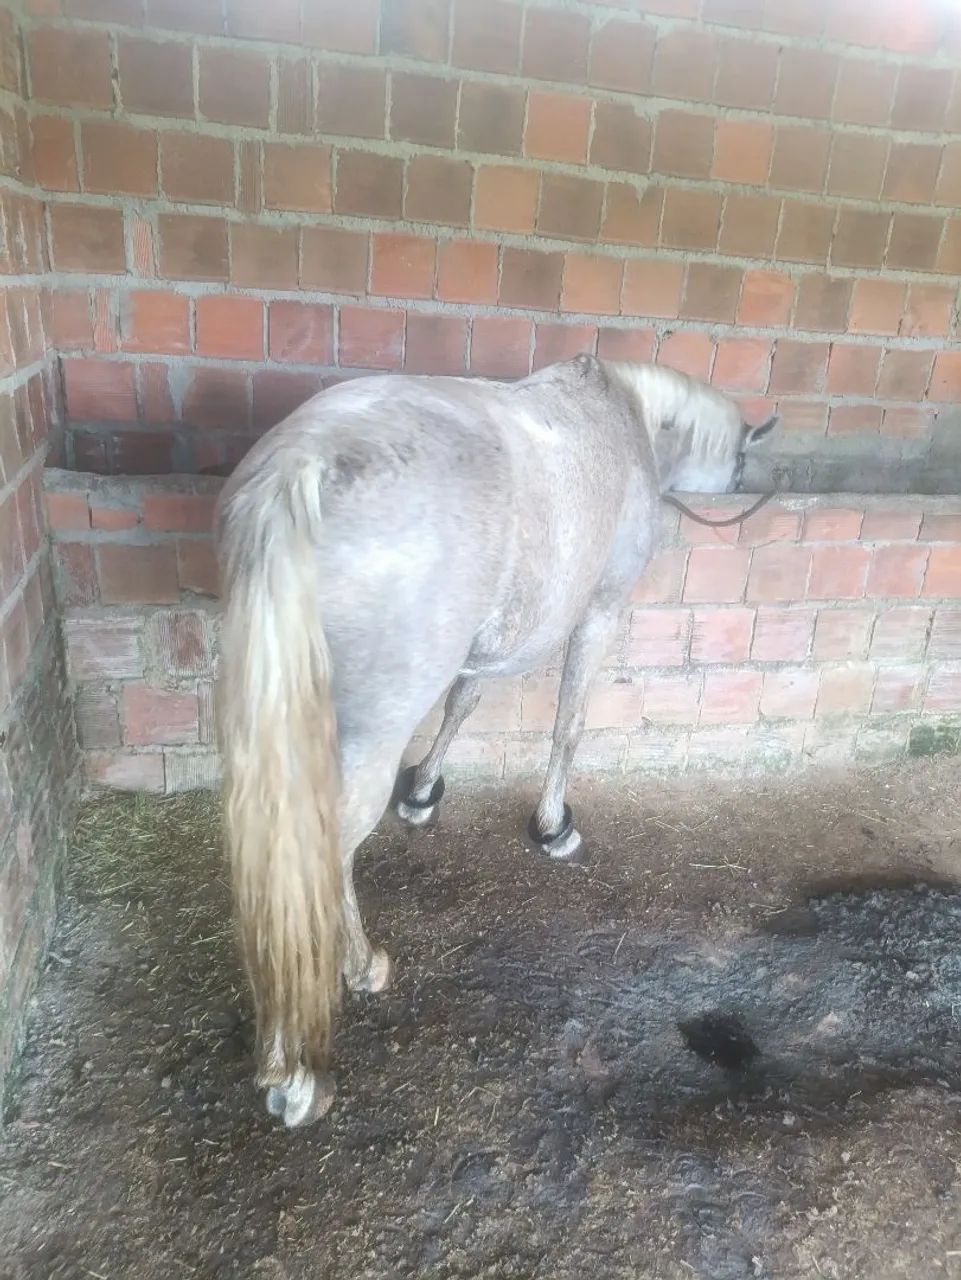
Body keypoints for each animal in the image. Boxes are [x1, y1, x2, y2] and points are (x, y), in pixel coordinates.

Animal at [215, 353, 777, 1128]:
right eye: (744, 456)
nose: (752, 486)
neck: (629, 418)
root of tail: (304, 466)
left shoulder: (477, 654)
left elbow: (464, 703)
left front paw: (423, 793)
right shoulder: (599, 613)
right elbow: (569, 721)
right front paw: (553, 826)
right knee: (325, 855)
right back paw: (319, 1037)